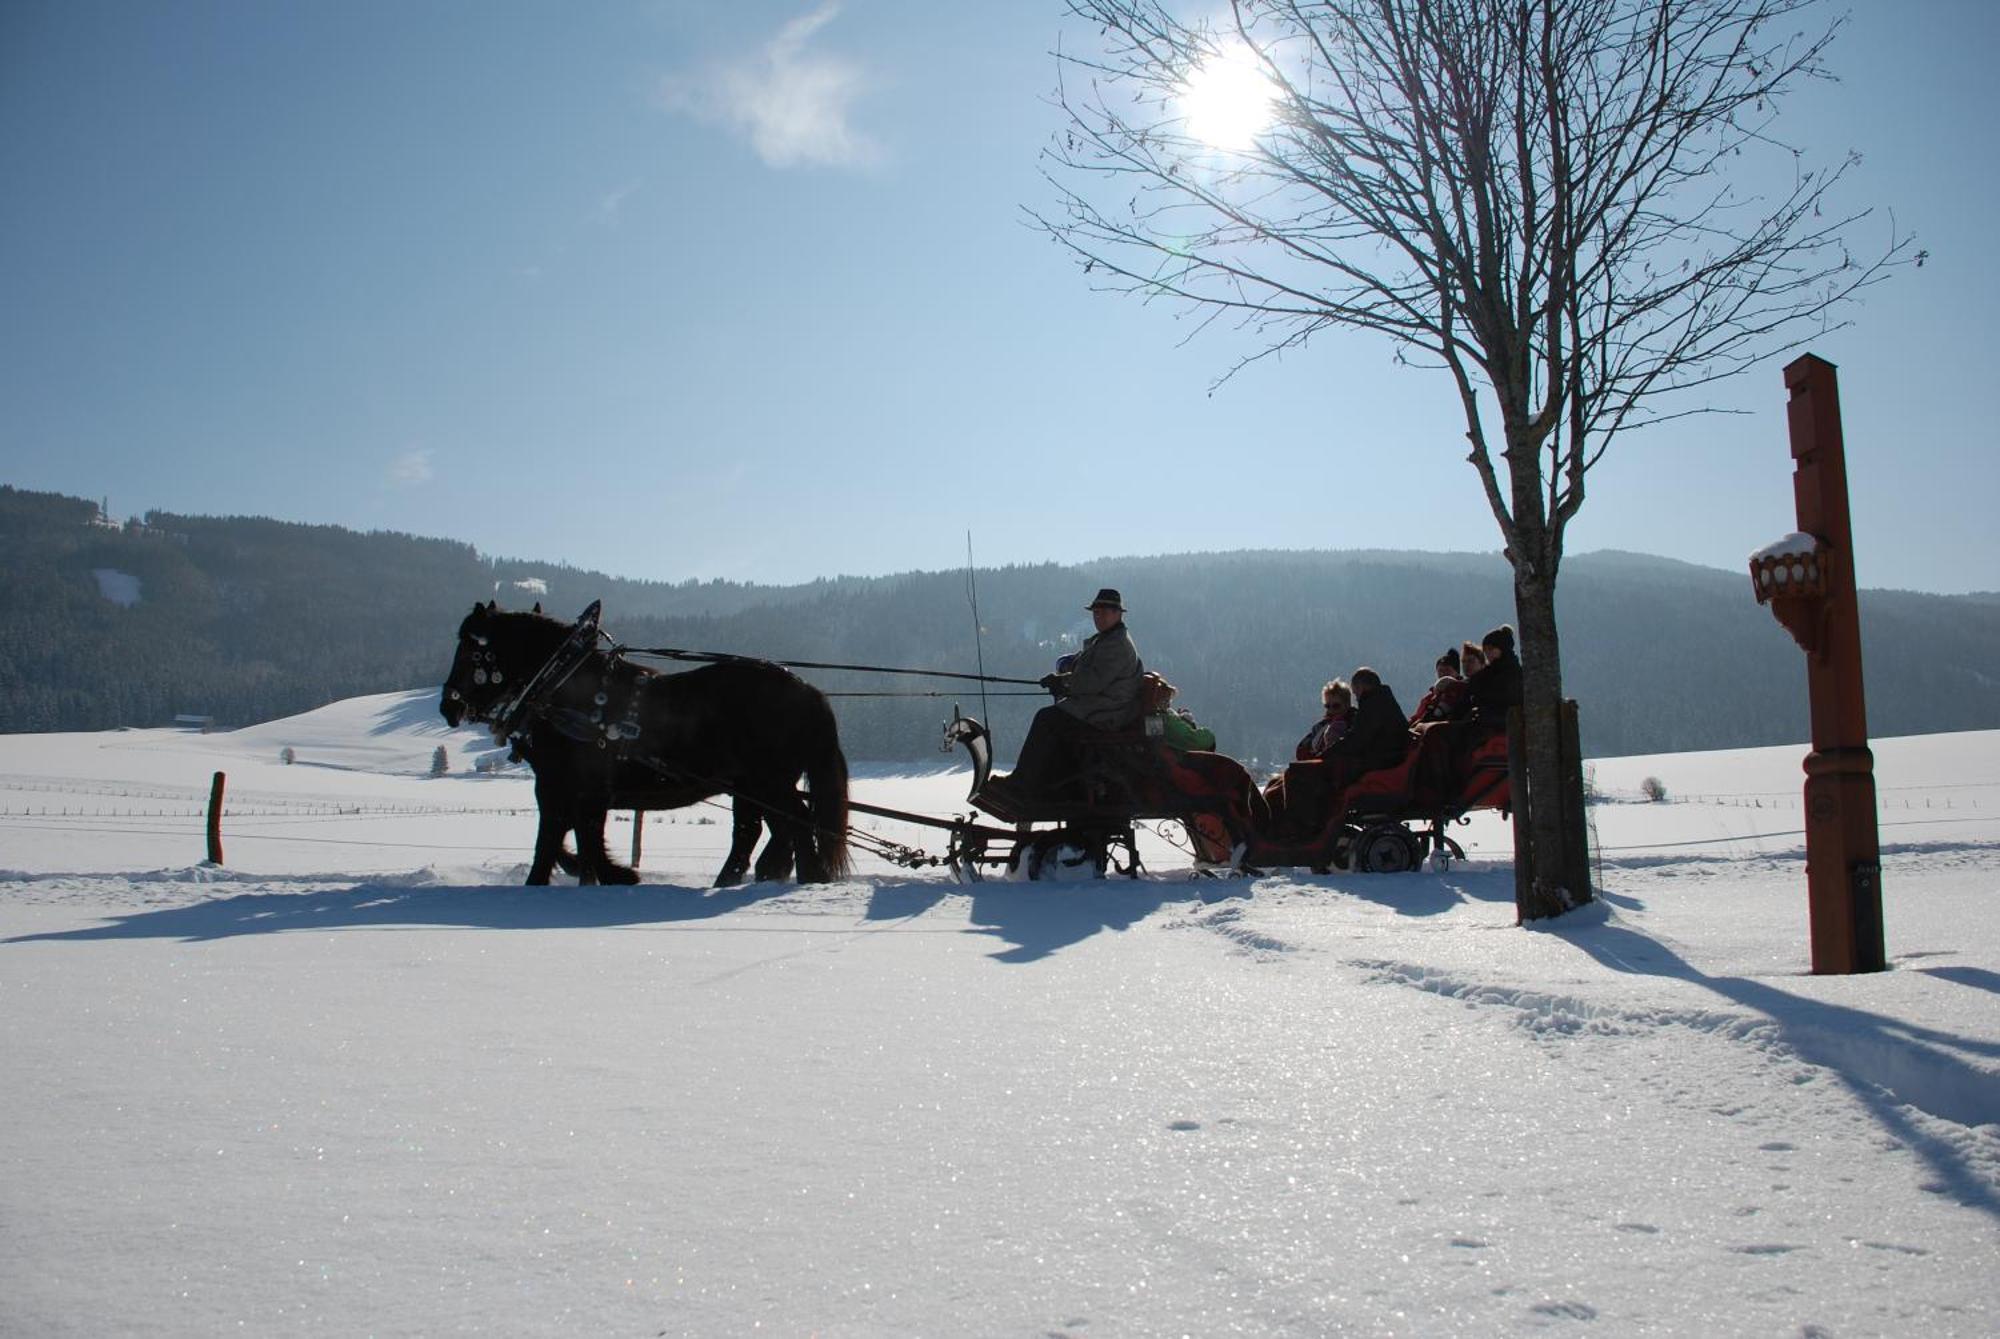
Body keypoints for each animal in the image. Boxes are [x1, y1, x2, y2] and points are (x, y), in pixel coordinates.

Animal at [442, 603, 848, 887]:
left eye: (469, 650)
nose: (448, 706)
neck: (559, 685)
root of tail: (808, 690)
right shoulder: (570, 788)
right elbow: (570, 835)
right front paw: (595, 874)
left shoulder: (571, 786)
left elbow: (564, 835)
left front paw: (608, 875)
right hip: (751, 785)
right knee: (763, 830)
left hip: (768, 782)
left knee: (793, 824)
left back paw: (807, 876)